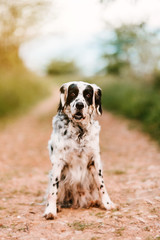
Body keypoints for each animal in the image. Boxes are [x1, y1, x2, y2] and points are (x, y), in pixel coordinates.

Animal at [43, 81, 115, 219]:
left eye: (88, 94)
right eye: (72, 93)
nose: (79, 105)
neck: (79, 132)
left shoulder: (94, 160)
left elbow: (101, 185)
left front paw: (108, 204)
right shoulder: (58, 162)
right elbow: (53, 190)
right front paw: (50, 210)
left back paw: (95, 201)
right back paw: (58, 206)